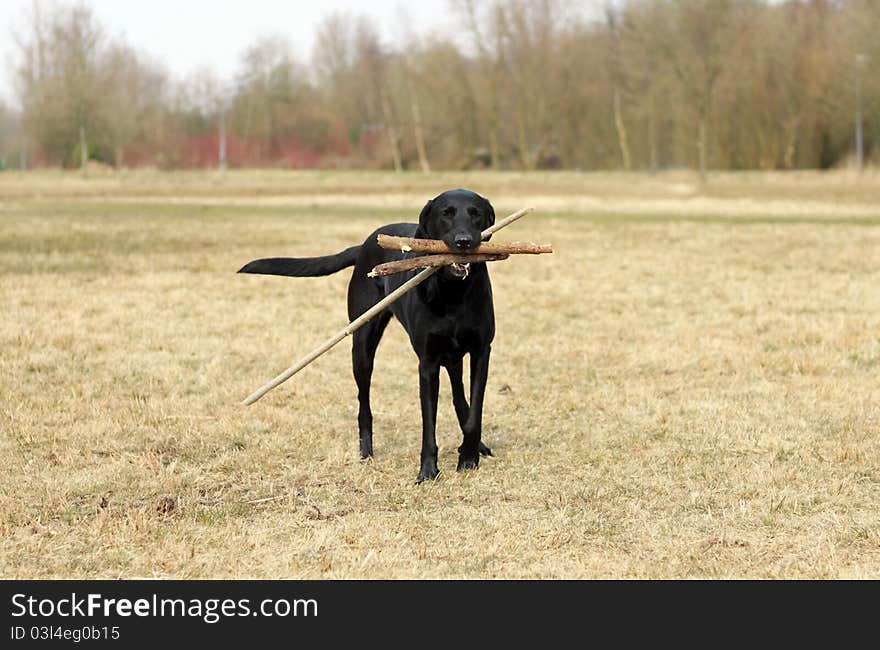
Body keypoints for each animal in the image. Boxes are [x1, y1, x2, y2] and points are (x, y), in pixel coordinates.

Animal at [241, 189, 498, 480]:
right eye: (446, 213)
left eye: (476, 214)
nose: (464, 242)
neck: (453, 292)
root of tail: (365, 244)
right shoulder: (427, 363)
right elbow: (428, 422)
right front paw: (427, 471)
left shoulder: (481, 352)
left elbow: (474, 412)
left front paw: (468, 458)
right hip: (362, 346)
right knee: (364, 405)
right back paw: (366, 452)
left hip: (450, 356)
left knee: (459, 397)